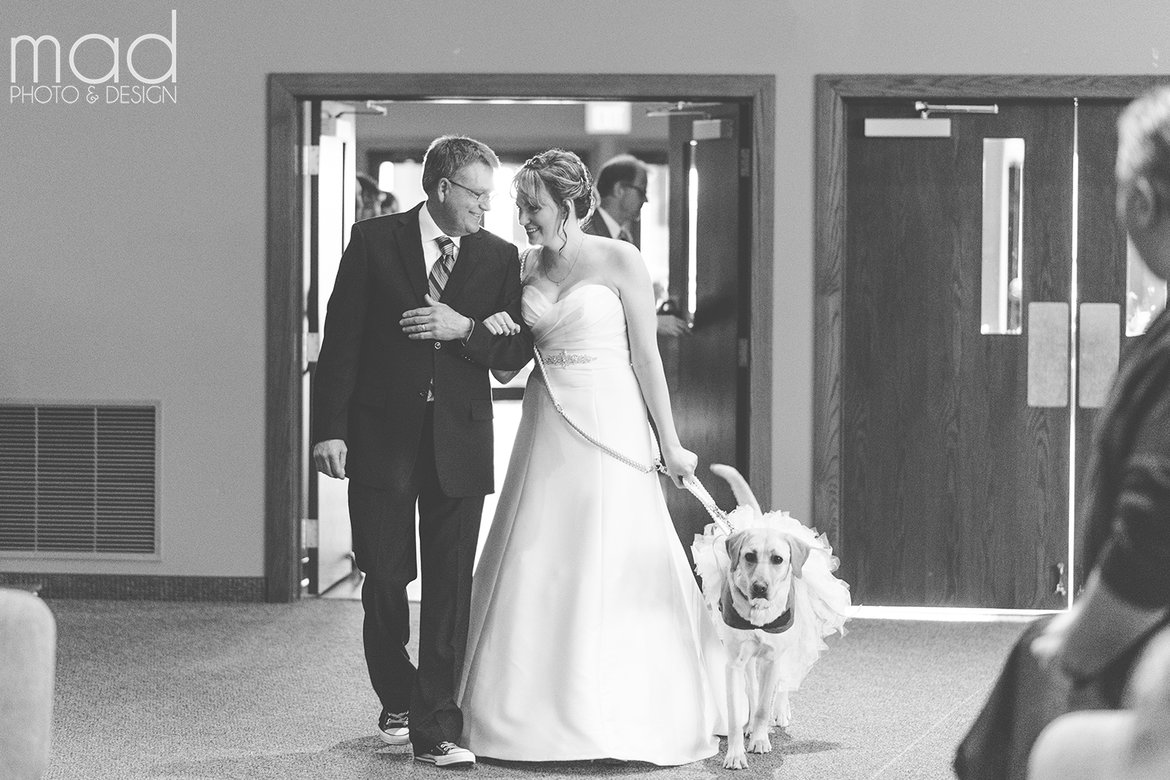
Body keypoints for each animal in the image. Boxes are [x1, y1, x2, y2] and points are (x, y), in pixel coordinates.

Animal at [692, 463, 851, 767]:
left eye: (778, 559)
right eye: (749, 556)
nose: (760, 587)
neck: (758, 614)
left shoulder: (772, 658)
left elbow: (764, 705)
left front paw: (761, 739)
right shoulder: (735, 663)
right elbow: (740, 710)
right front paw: (736, 752)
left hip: (791, 646)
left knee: (784, 682)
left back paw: (780, 711)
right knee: (753, 690)